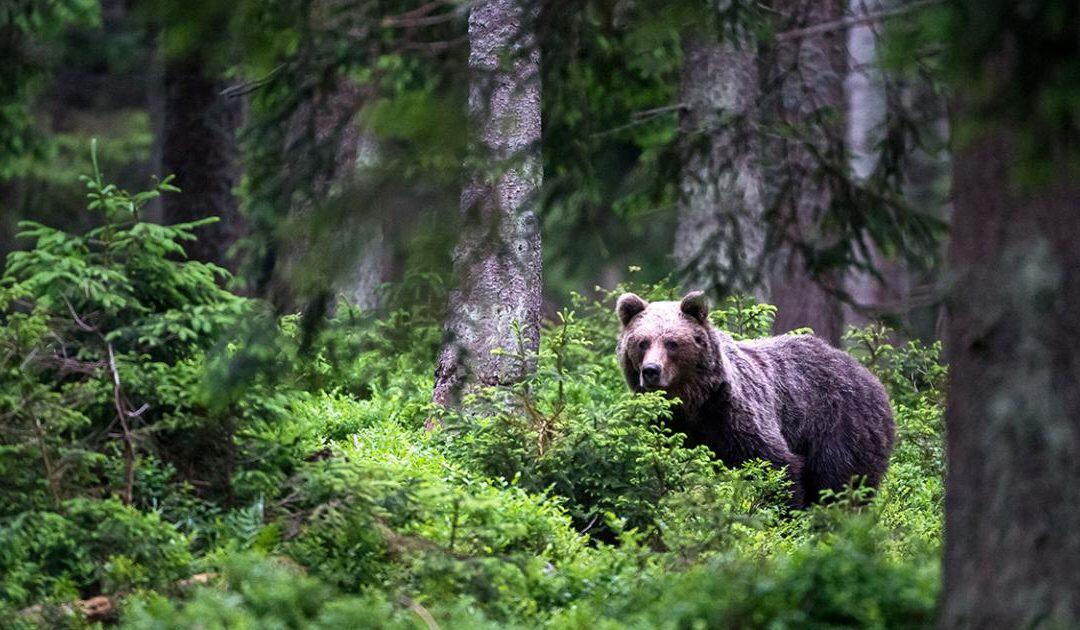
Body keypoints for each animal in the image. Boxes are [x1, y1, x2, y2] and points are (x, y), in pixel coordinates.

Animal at [617, 291, 894, 507]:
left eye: (672, 343)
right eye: (642, 342)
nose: (651, 370)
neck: (692, 402)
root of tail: (872, 377)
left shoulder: (736, 414)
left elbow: (776, 464)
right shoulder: (667, 426)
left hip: (840, 426)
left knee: (840, 483)